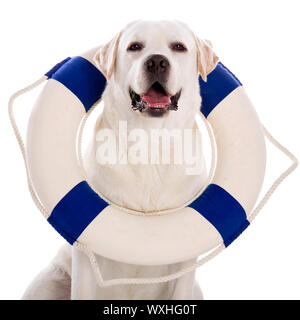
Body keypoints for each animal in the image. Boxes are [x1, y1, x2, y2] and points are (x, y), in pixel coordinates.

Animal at [21, 20, 218, 300]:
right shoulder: (86, 249)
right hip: (48, 281)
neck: (149, 141)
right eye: (134, 46)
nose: (157, 61)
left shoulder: (186, 259)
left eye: (179, 47)